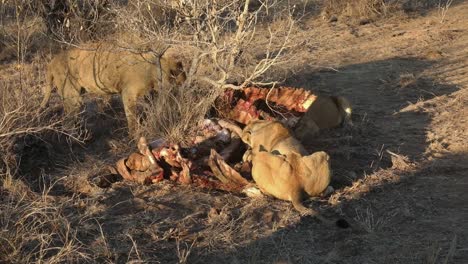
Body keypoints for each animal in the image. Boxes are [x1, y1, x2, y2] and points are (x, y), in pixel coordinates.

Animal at [40, 43, 186, 134]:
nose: (180, 89)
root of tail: (51, 62)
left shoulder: (149, 94)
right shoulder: (128, 93)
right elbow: (131, 118)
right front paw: (135, 136)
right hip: (72, 95)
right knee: (68, 122)